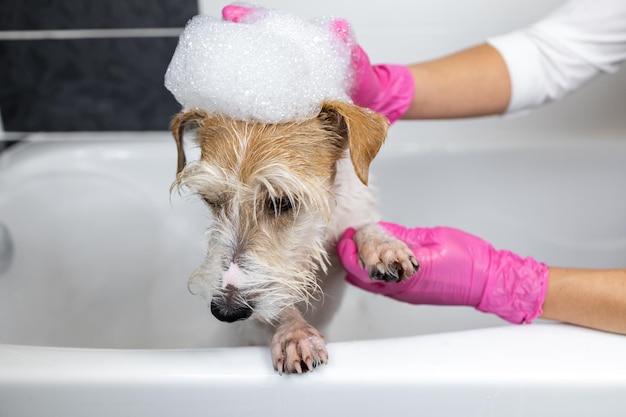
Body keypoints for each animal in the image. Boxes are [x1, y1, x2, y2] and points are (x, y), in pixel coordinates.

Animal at [169, 101, 420, 374]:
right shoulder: (255, 316)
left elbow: (364, 226)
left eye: (282, 201)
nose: (226, 311)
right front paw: (296, 334)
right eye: (210, 199)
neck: (313, 236)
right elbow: (275, 306)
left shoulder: (353, 214)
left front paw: (383, 246)